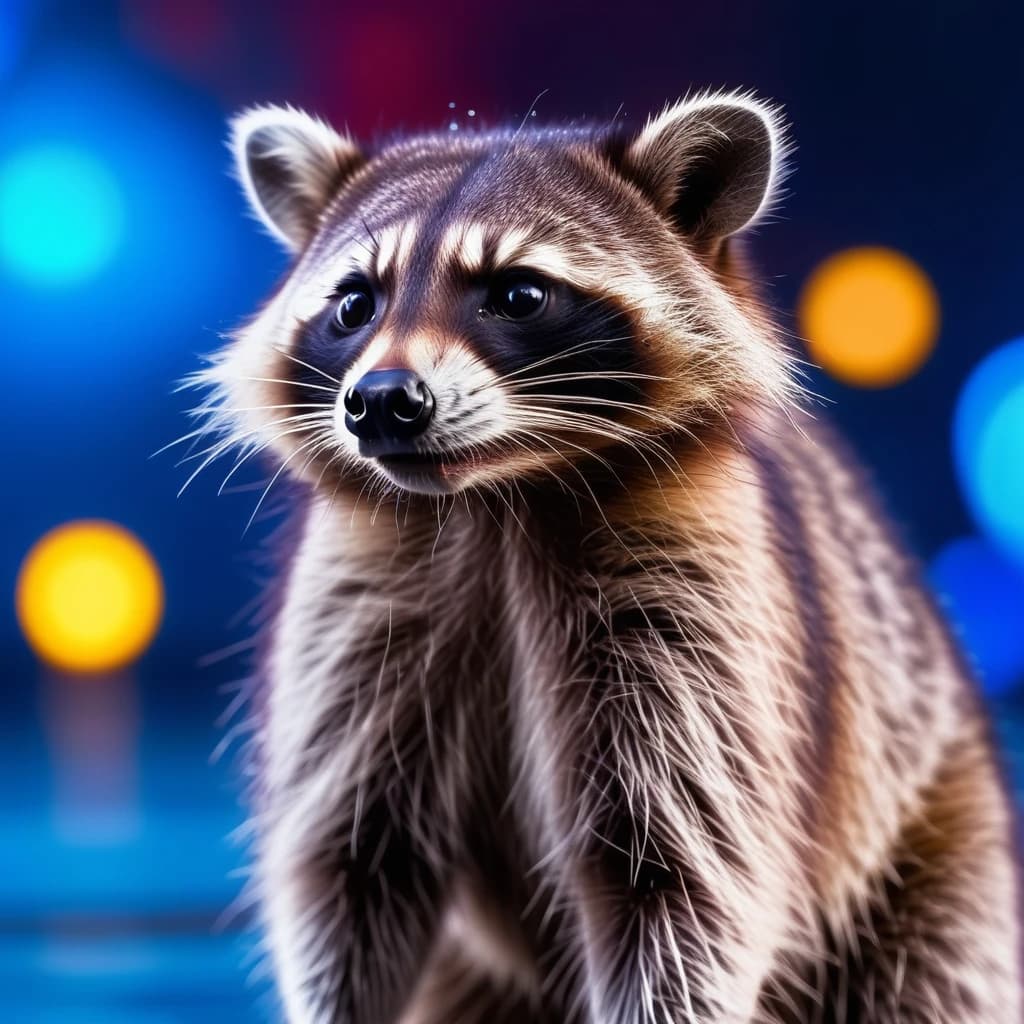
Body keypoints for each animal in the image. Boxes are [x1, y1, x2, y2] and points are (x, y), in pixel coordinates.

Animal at [197, 92, 1022, 1023]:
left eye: (519, 293)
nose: (381, 401)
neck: (494, 498)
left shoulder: (699, 615)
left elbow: (681, 880)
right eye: (354, 305)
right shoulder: (359, 607)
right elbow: (349, 870)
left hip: (932, 831)